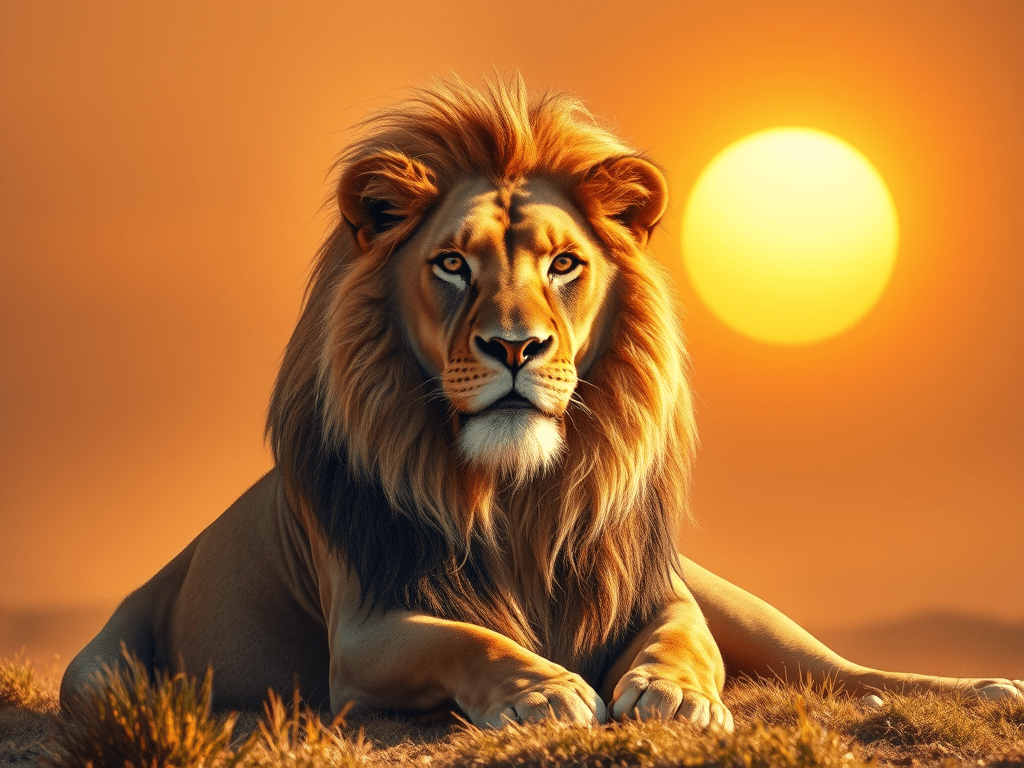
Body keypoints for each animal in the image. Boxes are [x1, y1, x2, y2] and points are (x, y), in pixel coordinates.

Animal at [60, 75, 1022, 729]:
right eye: (452, 264)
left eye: (564, 264)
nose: (516, 348)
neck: (520, 495)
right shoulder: (367, 626)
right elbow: (466, 637)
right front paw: (545, 689)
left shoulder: (656, 592)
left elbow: (683, 639)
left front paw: (672, 693)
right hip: (94, 673)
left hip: (732, 597)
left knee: (835, 668)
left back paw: (982, 688)